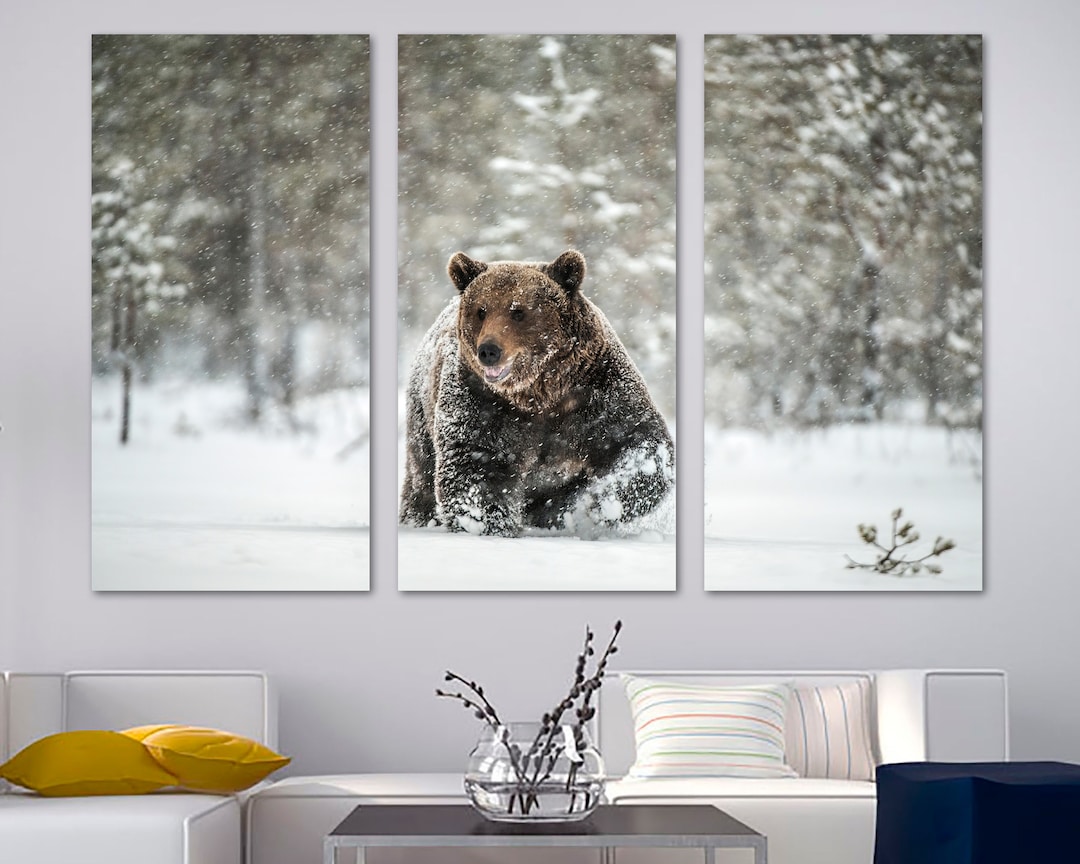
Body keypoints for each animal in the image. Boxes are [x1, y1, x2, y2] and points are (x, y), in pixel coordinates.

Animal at [400, 249, 674, 538]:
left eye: (518, 311)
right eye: (481, 311)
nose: (489, 350)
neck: (539, 393)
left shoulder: (596, 391)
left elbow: (638, 441)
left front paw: (600, 503)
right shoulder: (482, 401)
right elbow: (476, 463)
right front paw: (489, 525)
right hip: (422, 414)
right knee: (422, 476)